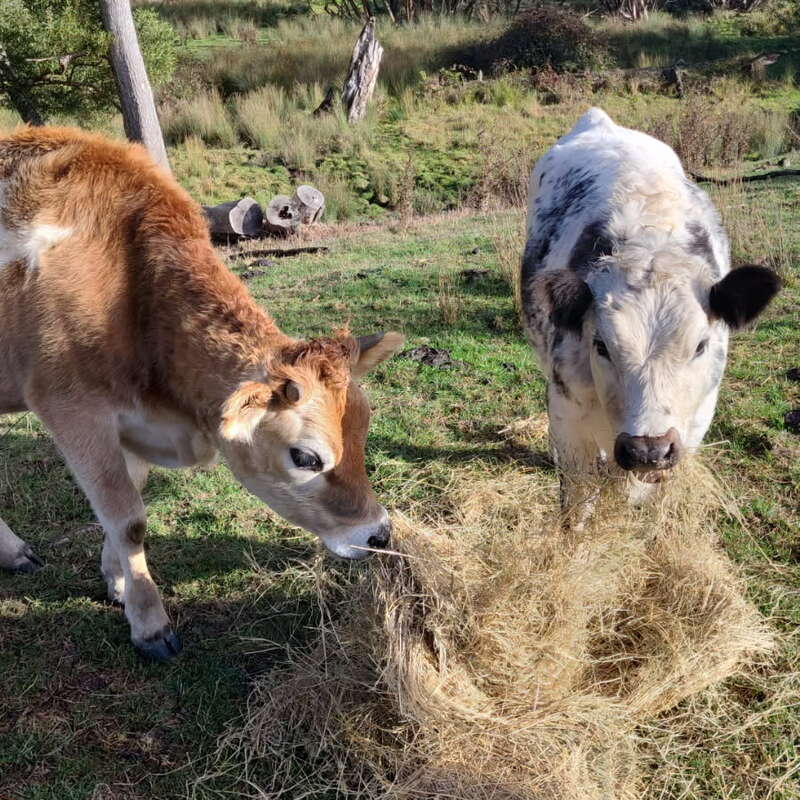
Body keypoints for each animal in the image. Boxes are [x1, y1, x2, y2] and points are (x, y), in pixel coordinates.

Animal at [0, 126, 404, 661]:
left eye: (364, 434)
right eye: (306, 457)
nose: (378, 534)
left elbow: (128, 505)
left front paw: (118, 582)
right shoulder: (71, 407)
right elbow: (127, 518)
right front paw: (150, 624)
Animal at [521, 108, 780, 516]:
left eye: (700, 346)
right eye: (601, 346)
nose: (648, 450)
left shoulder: (694, 424)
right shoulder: (567, 416)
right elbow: (576, 501)